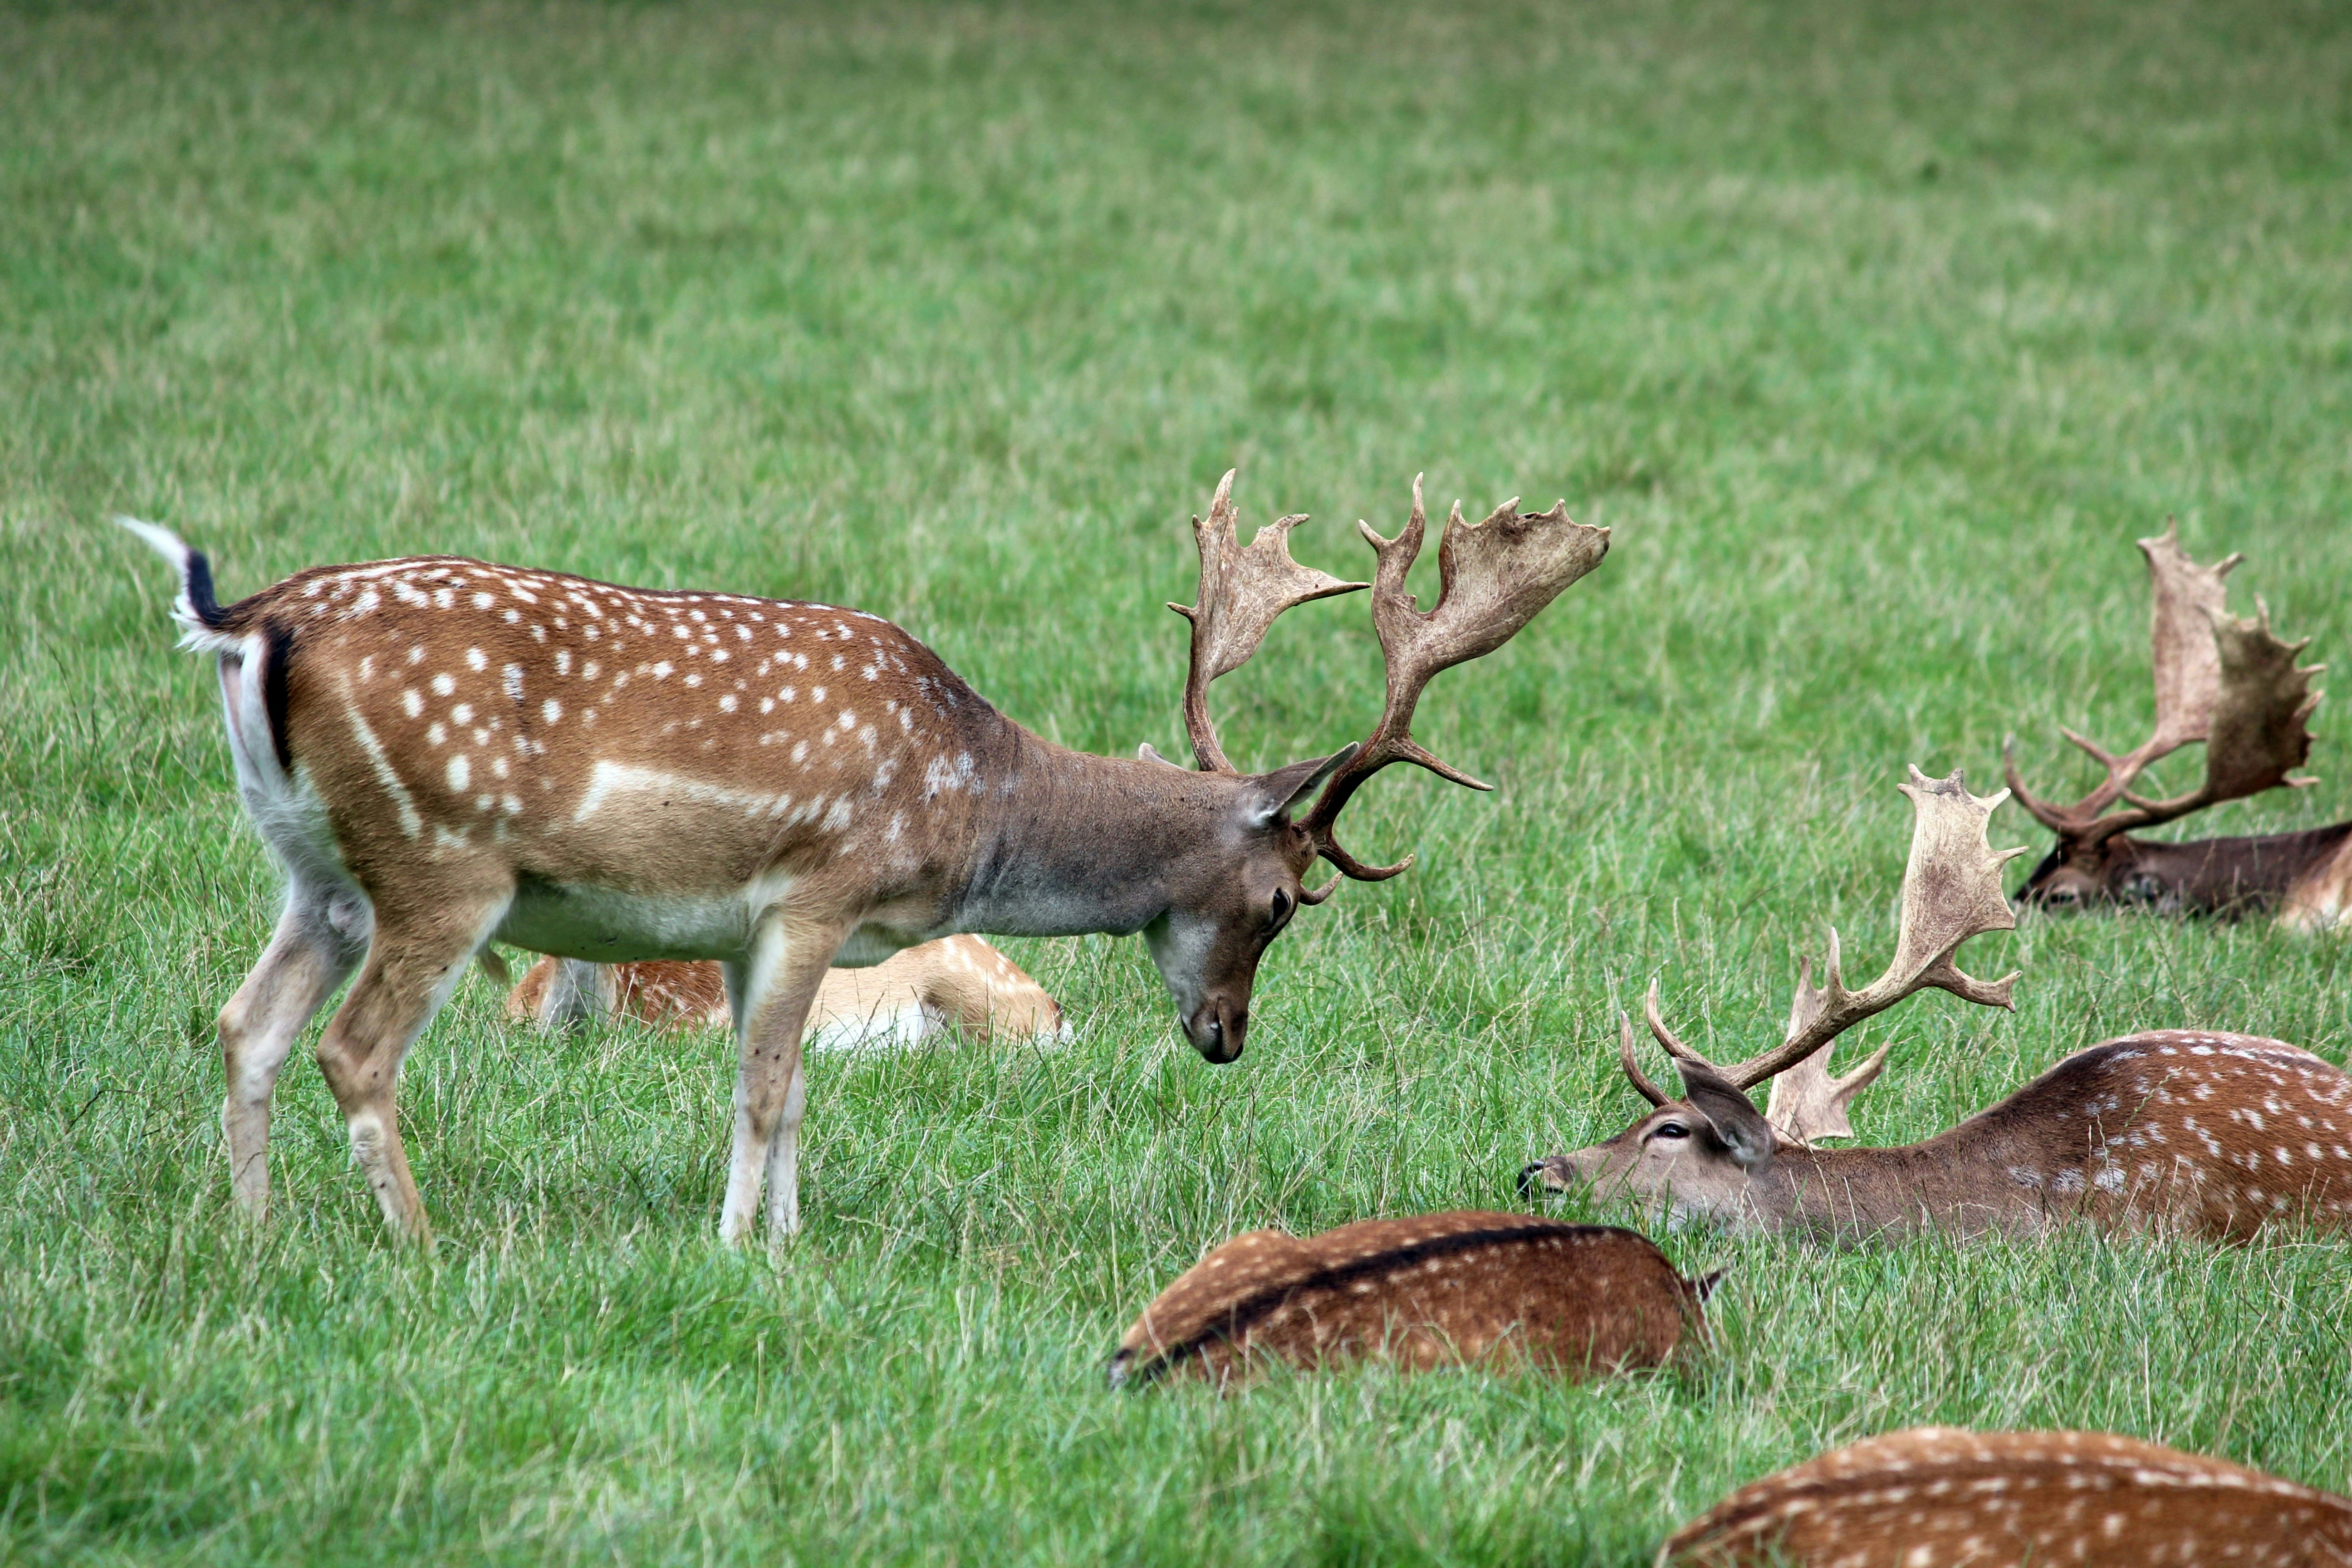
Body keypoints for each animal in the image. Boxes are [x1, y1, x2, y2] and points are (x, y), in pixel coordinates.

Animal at [122, 473, 1607, 1245]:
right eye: (1290, 900)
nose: (1226, 1036)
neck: (972, 801)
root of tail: (244, 621)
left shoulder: (742, 931)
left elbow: (781, 1092)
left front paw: (781, 1240)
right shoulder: (815, 892)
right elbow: (769, 1085)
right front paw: (739, 1247)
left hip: (312, 868)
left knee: (247, 1023)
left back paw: (253, 1235)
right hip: (442, 867)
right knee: (350, 1046)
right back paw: (420, 1248)